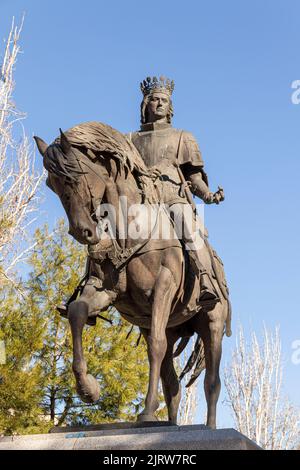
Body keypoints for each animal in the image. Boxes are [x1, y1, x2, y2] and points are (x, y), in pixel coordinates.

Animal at [34, 121, 232, 430]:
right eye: (50, 184)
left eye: (75, 176)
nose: (82, 232)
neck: (129, 227)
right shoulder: (104, 290)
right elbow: (77, 313)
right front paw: (88, 388)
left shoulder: (164, 286)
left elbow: (155, 348)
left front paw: (147, 411)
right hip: (169, 326)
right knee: (172, 385)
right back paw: (170, 425)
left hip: (212, 323)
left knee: (211, 382)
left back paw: (208, 428)